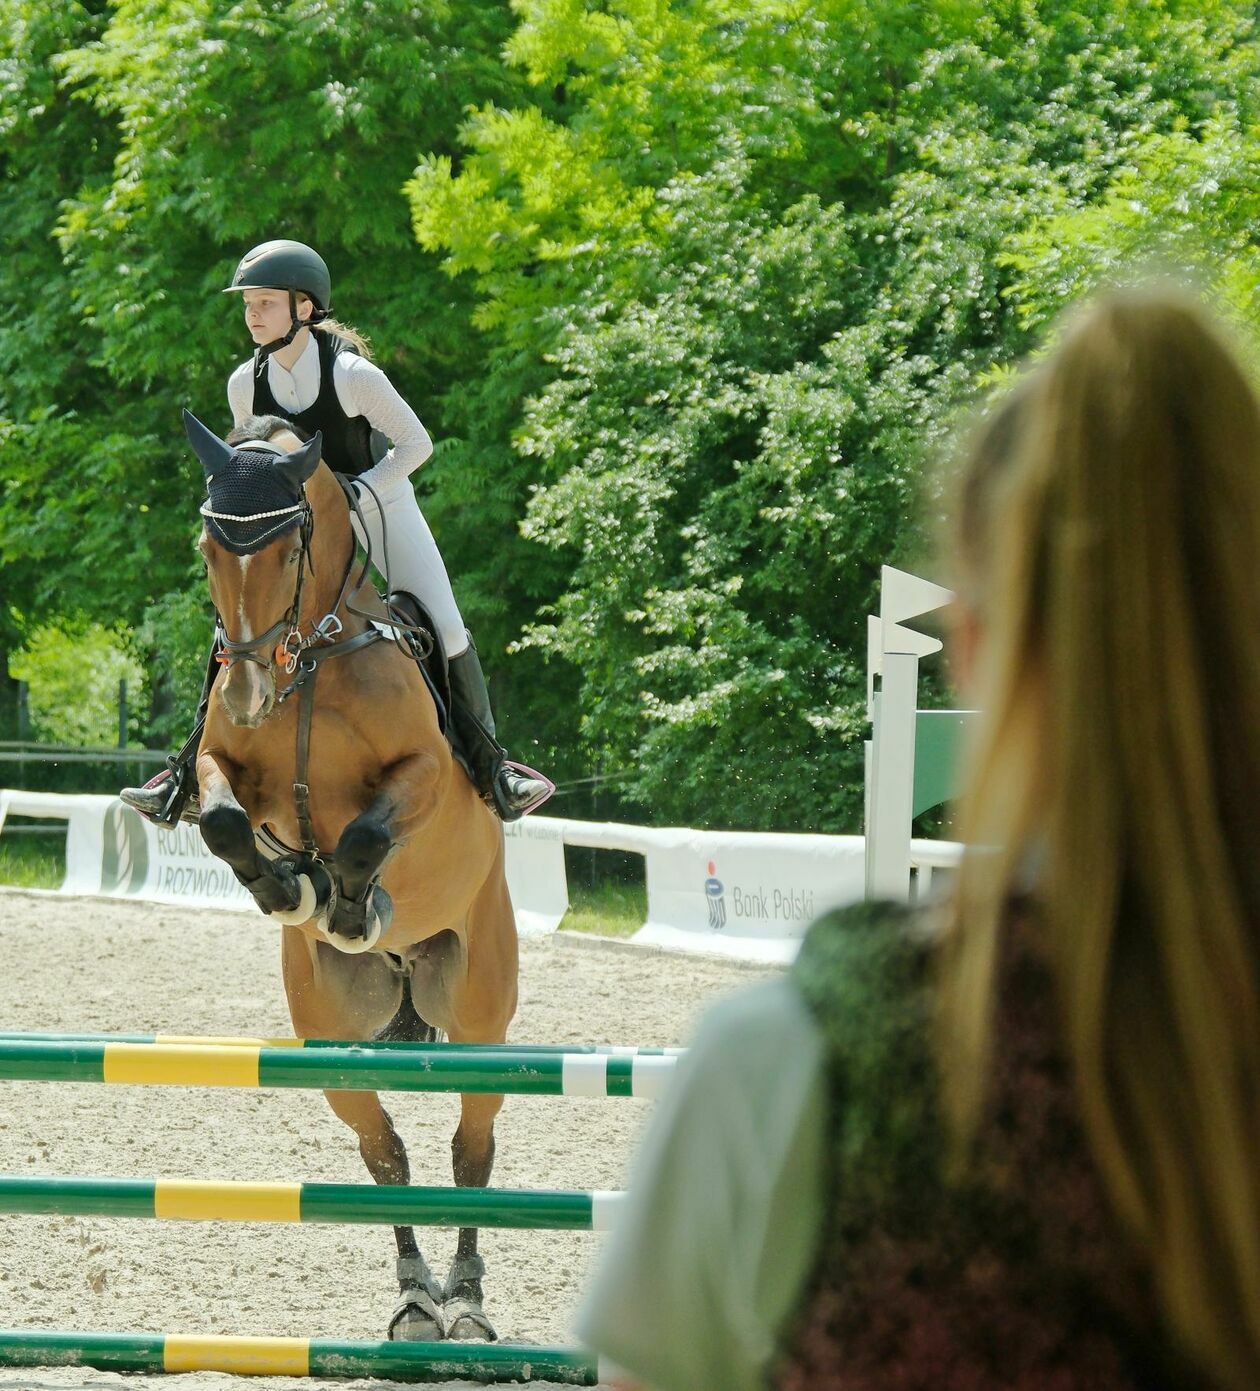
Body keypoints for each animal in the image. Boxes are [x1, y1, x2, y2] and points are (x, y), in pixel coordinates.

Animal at [182, 406, 514, 1340]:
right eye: (208, 545)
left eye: (290, 547)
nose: (249, 690)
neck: (309, 661)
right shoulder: (225, 768)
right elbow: (223, 817)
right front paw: (287, 887)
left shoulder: (423, 776)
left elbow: (367, 832)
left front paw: (351, 903)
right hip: (328, 1036)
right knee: (383, 1148)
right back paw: (415, 1297)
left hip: (481, 1013)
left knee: (471, 1147)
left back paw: (465, 1301)